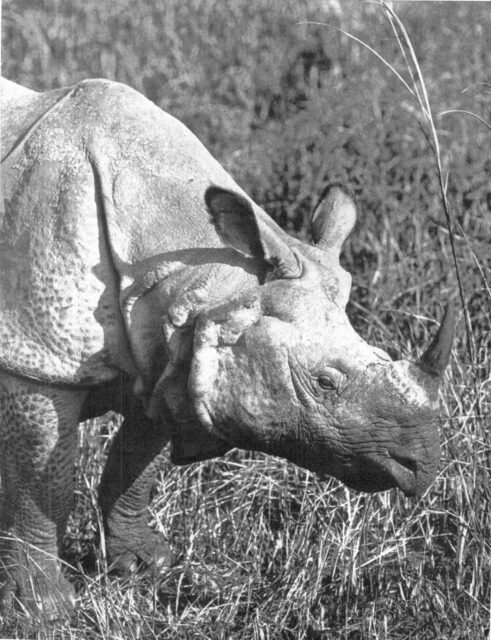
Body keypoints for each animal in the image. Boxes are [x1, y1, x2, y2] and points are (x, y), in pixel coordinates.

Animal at [0, 77, 454, 615]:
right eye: (325, 383)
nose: (423, 467)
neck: (197, 278)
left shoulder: (168, 351)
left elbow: (136, 464)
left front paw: (145, 566)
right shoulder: (37, 359)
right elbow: (41, 487)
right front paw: (44, 609)